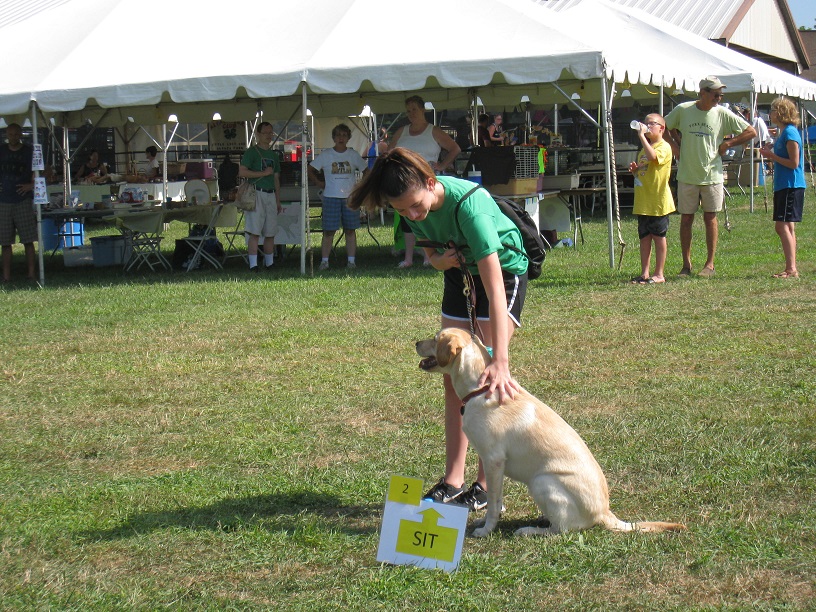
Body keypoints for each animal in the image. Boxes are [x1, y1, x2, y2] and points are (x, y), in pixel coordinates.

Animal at [416, 328, 686, 537]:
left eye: (435, 338)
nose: (415, 342)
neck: (480, 389)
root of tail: (604, 513)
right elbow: (497, 501)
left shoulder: (493, 461)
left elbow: (493, 504)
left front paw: (485, 530)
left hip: (541, 481)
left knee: (563, 530)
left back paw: (530, 530)